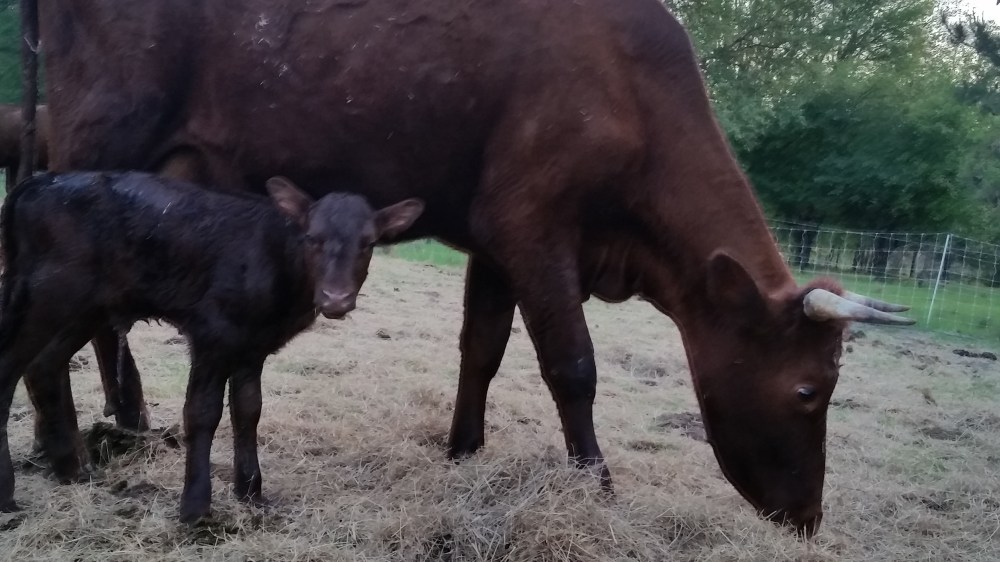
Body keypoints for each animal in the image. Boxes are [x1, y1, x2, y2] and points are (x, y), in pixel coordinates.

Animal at [0, 171, 424, 521]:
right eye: (312, 238)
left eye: (368, 243)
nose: (336, 299)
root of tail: (37, 183)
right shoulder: (211, 334)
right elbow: (202, 412)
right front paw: (195, 506)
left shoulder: (252, 346)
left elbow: (248, 410)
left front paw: (251, 492)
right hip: (48, 294)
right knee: (10, 367)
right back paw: (8, 492)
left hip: (87, 307)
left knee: (44, 365)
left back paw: (72, 470)